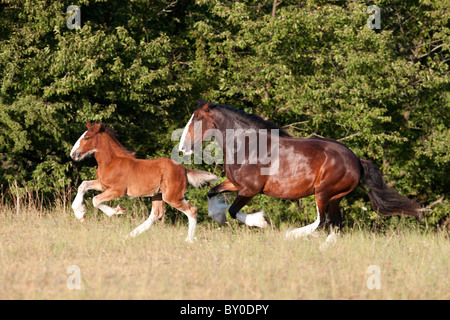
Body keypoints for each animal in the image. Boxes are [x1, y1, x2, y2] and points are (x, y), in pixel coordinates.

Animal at [70, 121, 218, 241]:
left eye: (86, 137)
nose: (73, 154)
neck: (111, 162)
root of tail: (184, 169)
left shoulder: (117, 190)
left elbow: (96, 200)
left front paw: (118, 210)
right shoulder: (103, 185)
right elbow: (83, 185)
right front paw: (80, 213)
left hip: (172, 196)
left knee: (192, 210)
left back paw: (188, 240)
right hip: (158, 195)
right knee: (156, 215)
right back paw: (129, 235)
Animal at [179, 100, 422, 240]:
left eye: (197, 119)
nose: (182, 148)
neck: (247, 145)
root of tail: (356, 160)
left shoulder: (250, 189)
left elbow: (233, 210)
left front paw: (261, 222)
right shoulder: (234, 184)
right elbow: (211, 193)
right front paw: (218, 218)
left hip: (323, 192)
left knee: (323, 221)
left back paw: (292, 234)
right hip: (335, 197)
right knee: (335, 224)